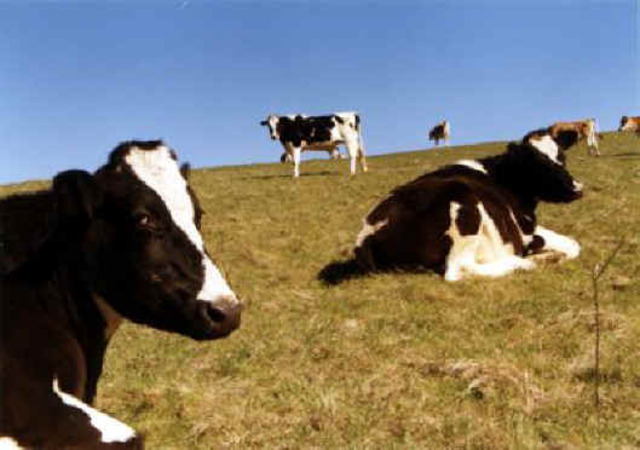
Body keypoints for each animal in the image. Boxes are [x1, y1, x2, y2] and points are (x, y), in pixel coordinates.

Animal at [353, 128, 583, 282]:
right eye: (538, 165)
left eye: (562, 156)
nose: (577, 188)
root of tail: (366, 234)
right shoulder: (525, 231)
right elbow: (571, 245)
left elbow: (572, 243)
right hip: (462, 204)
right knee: (459, 269)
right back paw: (528, 262)